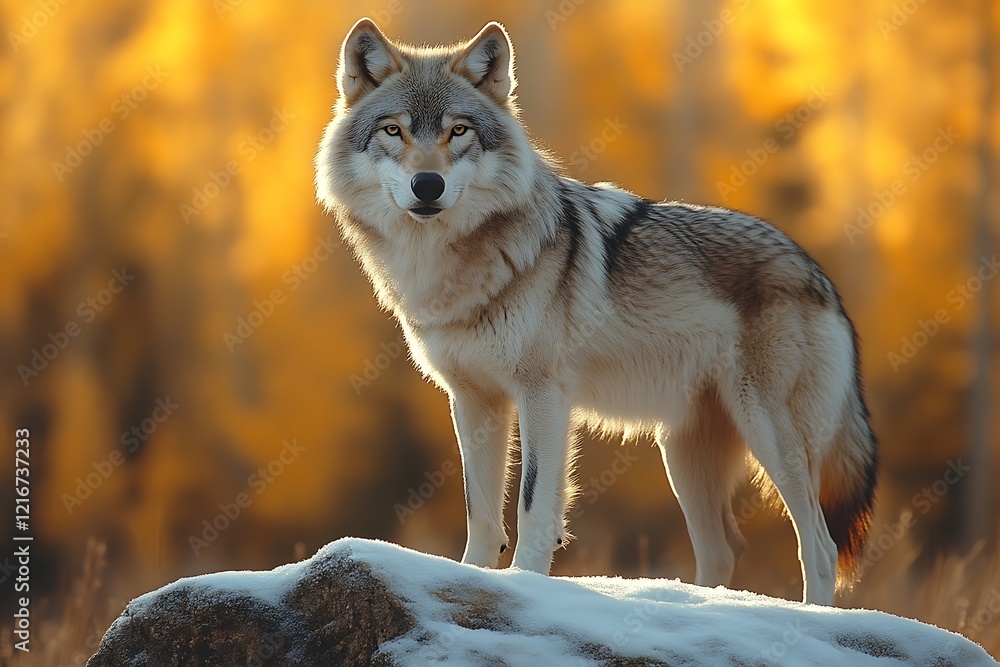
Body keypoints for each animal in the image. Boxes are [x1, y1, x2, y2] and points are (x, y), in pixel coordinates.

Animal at [315, 18, 877, 605]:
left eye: (459, 131)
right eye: (394, 131)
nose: (428, 185)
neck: (449, 268)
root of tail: (819, 274)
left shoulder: (543, 395)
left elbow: (533, 506)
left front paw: (526, 585)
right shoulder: (473, 401)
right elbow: (482, 517)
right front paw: (471, 580)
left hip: (766, 433)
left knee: (820, 547)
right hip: (683, 453)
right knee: (724, 548)